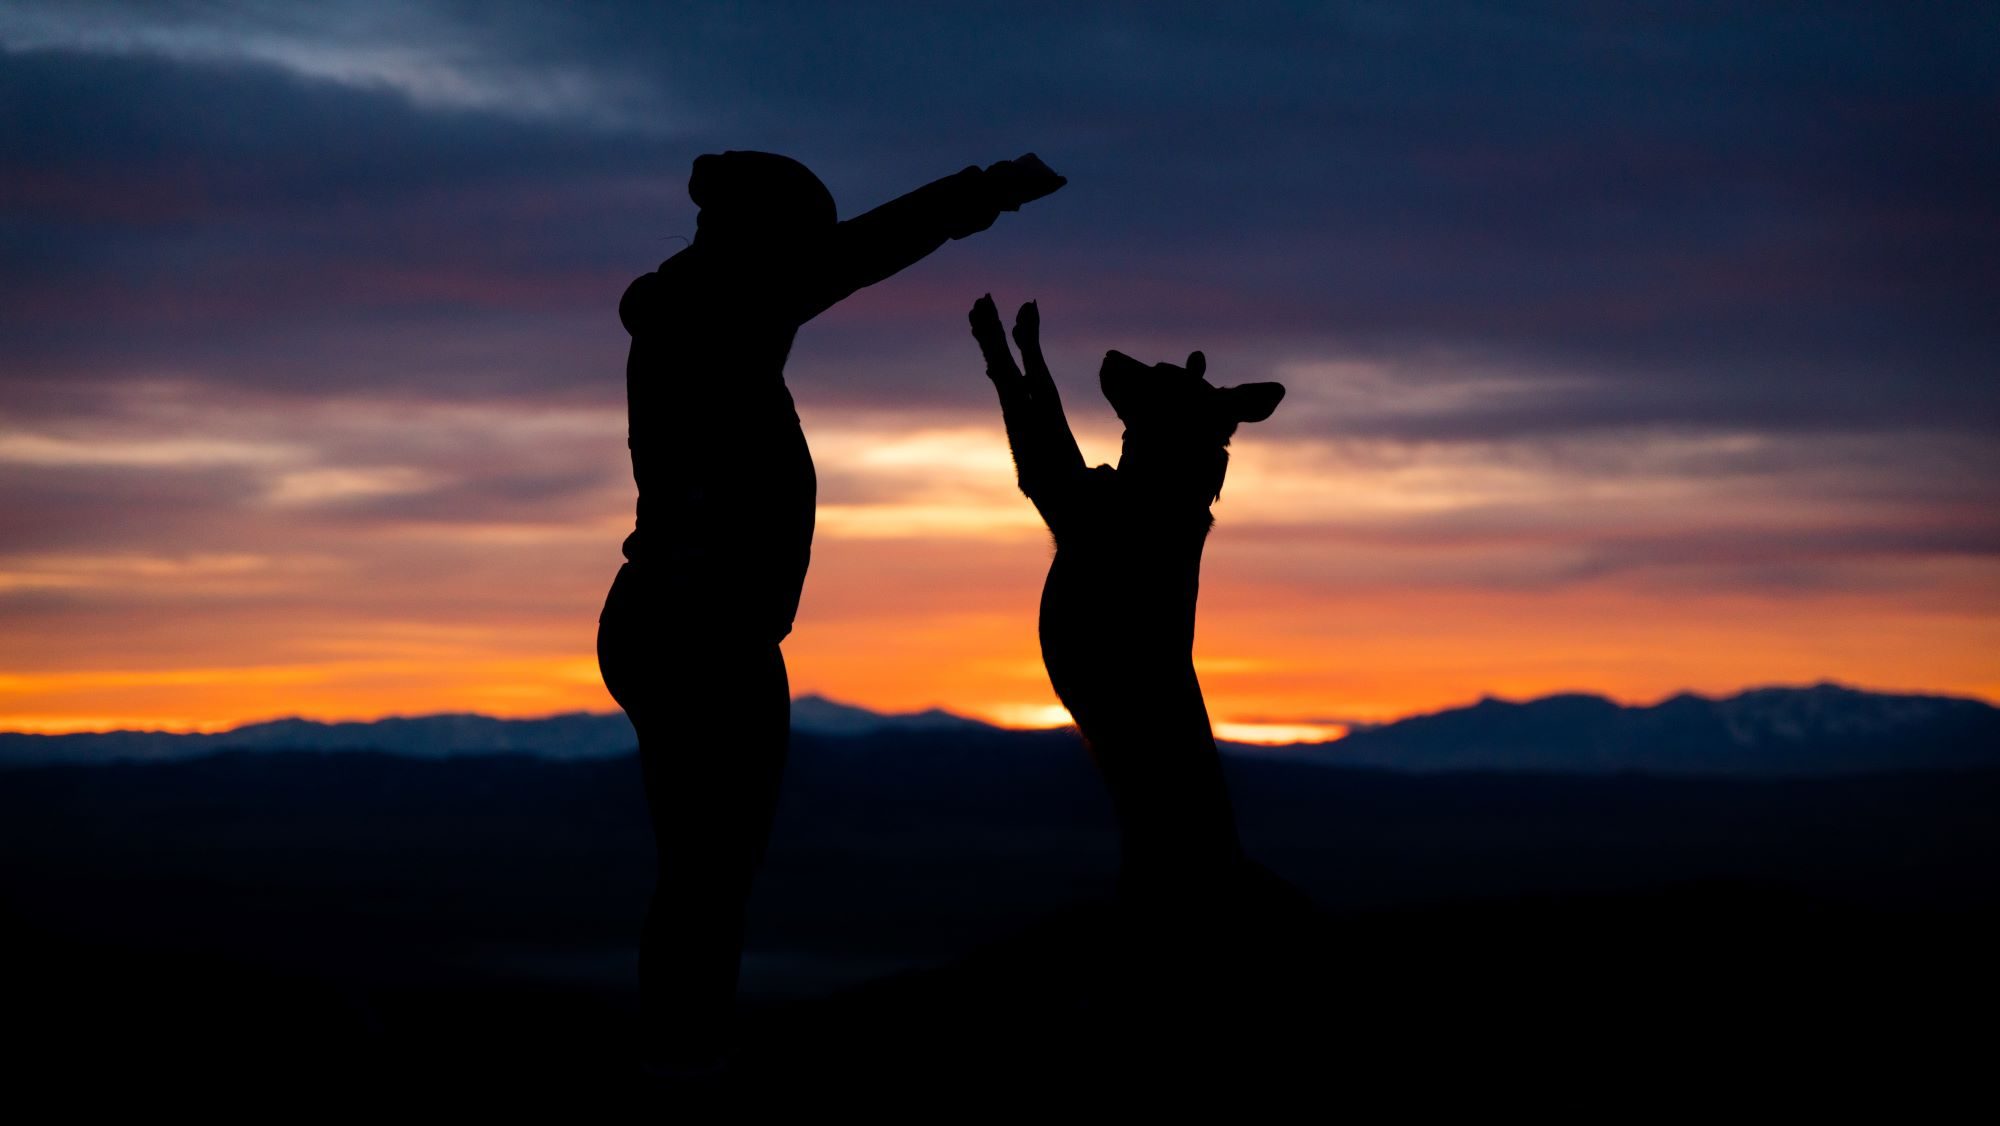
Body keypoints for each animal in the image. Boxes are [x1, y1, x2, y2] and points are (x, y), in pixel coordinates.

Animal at [972, 298, 1296, 924]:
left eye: (1158, 377)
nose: (1110, 354)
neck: (1157, 486)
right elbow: (1039, 395)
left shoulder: (1056, 485)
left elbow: (1034, 393)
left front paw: (1006, 329)